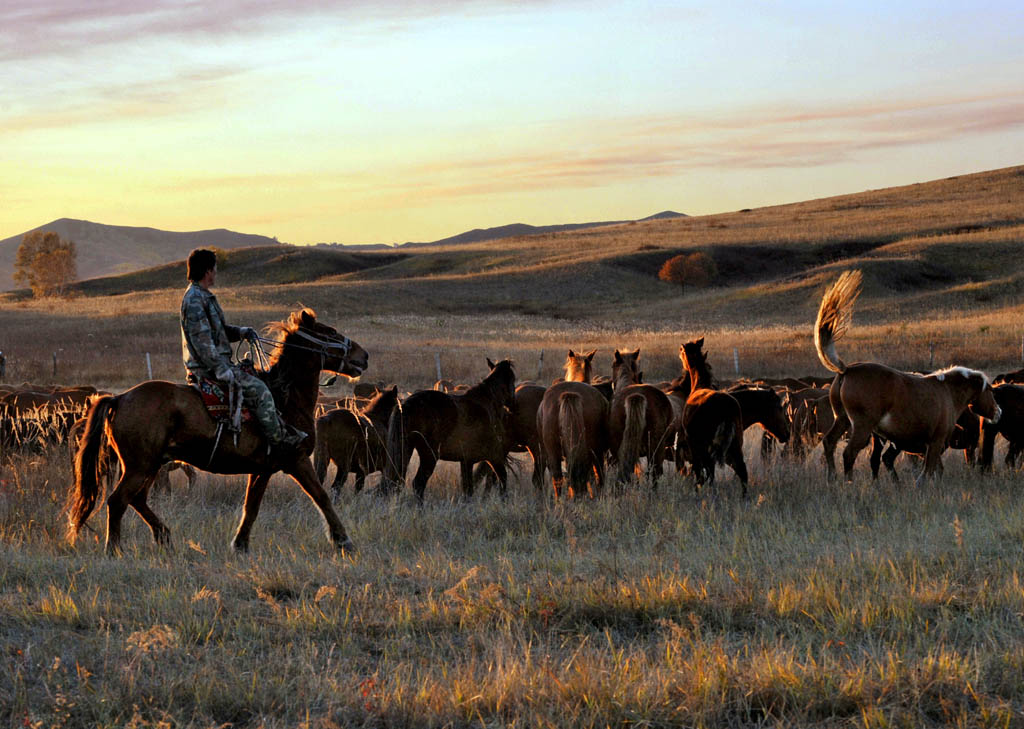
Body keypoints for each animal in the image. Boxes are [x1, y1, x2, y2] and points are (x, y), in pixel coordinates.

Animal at [67, 307, 368, 552]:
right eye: (330, 332)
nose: (363, 356)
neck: (286, 397)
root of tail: (119, 398)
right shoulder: (296, 459)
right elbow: (322, 497)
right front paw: (343, 540)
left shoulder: (262, 469)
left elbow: (251, 506)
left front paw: (240, 545)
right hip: (139, 466)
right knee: (117, 501)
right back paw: (114, 549)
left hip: (151, 465)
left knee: (137, 499)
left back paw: (164, 536)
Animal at [385, 358, 516, 501]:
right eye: (513, 378)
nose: (513, 404)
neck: (487, 405)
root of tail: (405, 404)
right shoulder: (494, 455)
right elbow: (502, 479)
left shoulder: (467, 461)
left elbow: (468, 489)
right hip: (429, 455)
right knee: (418, 484)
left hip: (407, 450)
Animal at [675, 337, 749, 495]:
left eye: (683, 350)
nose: (679, 352)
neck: (700, 384)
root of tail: (726, 408)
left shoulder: (694, 443)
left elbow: (701, 470)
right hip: (736, 441)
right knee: (741, 470)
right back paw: (744, 496)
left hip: (706, 443)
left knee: (704, 470)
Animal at [815, 270, 999, 481]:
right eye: (991, 391)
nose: (998, 412)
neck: (948, 392)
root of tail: (847, 369)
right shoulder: (936, 442)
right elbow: (928, 471)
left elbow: (933, 469)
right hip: (862, 426)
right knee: (849, 453)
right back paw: (849, 482)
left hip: (842, 419)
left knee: (829, 443)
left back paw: (832, 478)